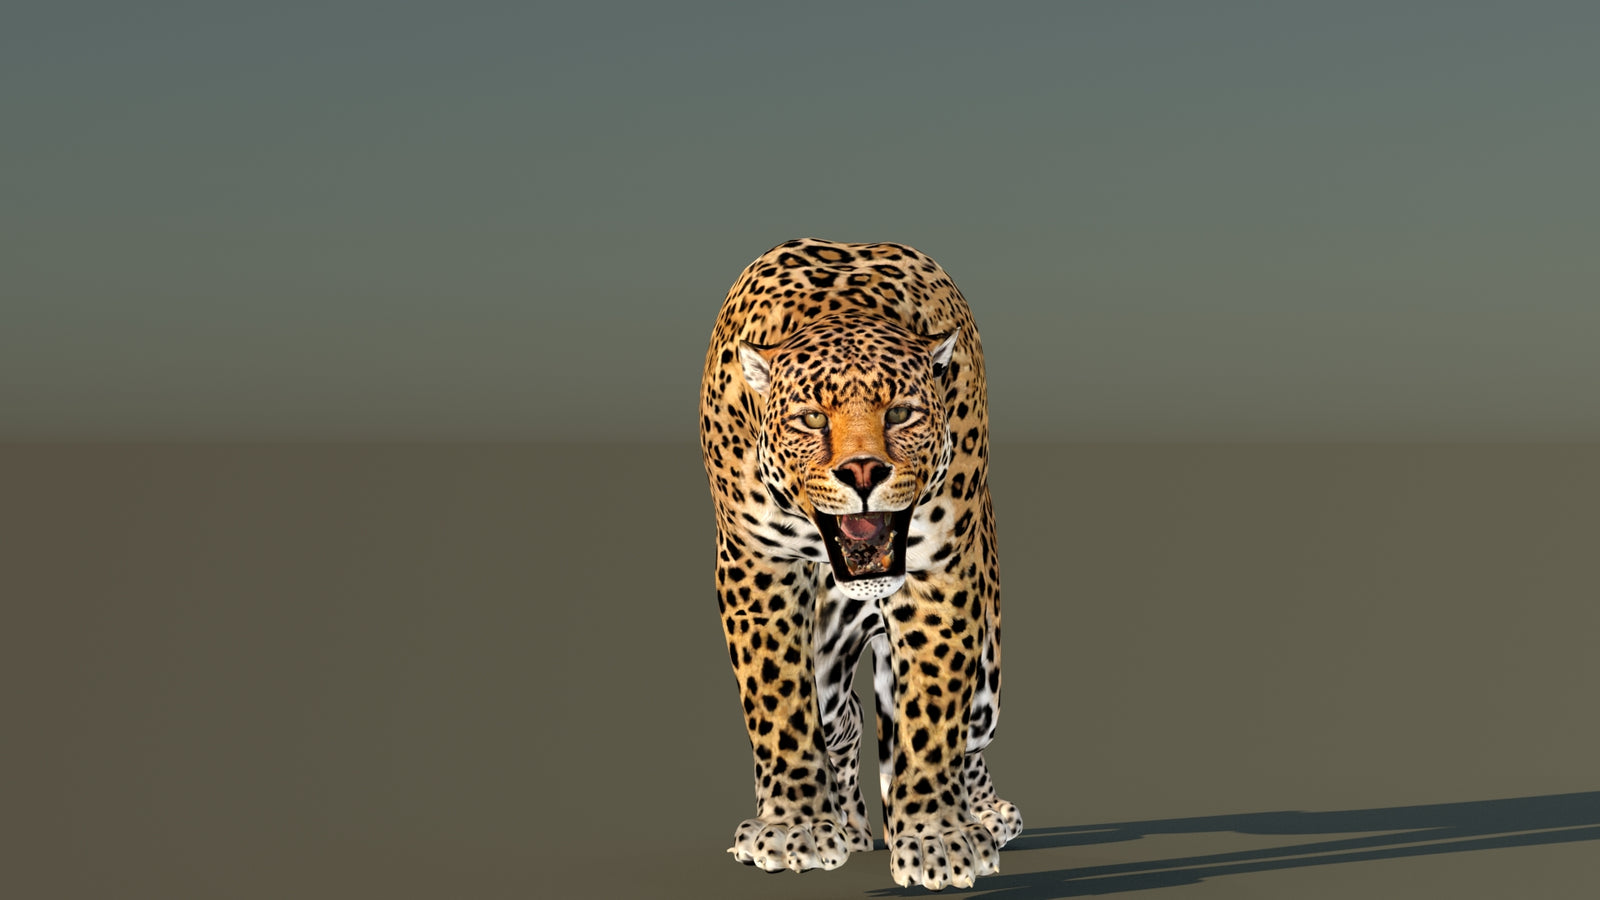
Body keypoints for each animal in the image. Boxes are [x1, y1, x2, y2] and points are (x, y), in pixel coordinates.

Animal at [700, 238, 1022, 890]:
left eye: (900, 414)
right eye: (811, 419)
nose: (864, 471)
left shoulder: (939, 567)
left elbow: (932, 712)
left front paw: (937, 835)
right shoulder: (756, 561)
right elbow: (776, 701)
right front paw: (794, 825)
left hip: (989, 673)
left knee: (970, 736)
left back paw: (983, 812)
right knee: (840, 723)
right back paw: (847, 825)